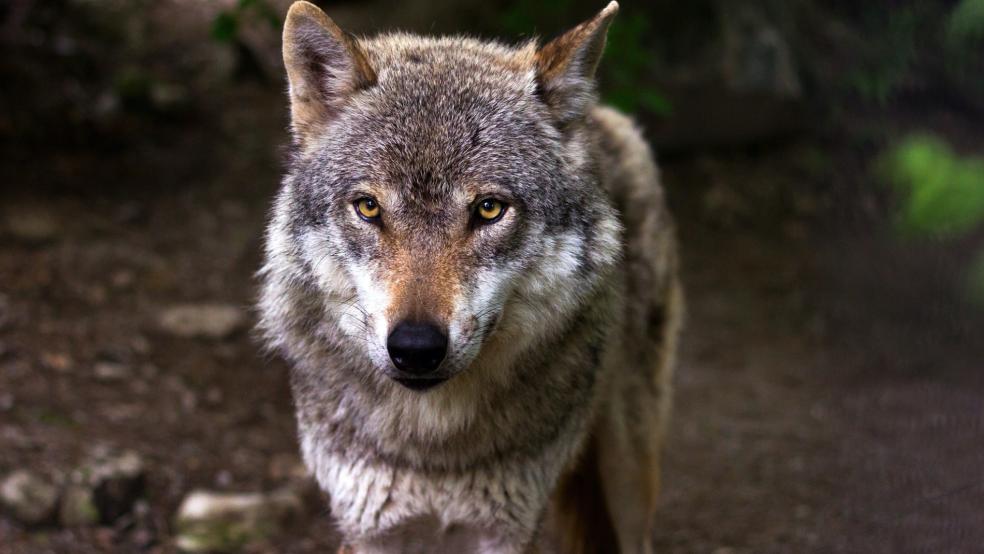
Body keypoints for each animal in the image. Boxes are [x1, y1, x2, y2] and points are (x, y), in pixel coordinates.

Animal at [257, 1, 682, 552]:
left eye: (489, 209)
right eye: (368, 207)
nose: (416, 347)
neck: (435, 448)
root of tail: (603, 117)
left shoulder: (507, 530)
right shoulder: (370, 527)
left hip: (628, 473)